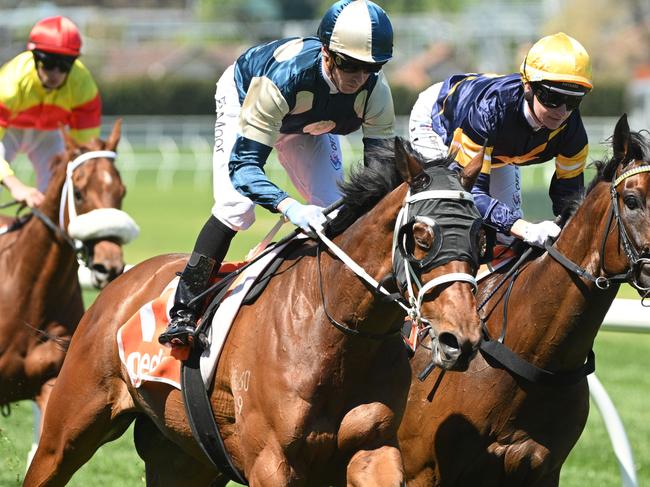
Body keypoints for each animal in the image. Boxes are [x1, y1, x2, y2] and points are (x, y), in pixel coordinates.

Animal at [25, 137, 480, 487]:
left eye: (482, 233)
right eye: (421, 235)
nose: (461, 339)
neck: (335, 334)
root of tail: (122, 283)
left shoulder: (375, 448)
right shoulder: (270, 462)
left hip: (182, 458)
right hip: (68, 430)